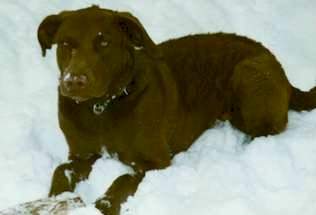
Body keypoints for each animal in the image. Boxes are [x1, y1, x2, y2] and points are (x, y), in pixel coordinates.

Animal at [37, 5, 316, 215]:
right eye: (65, 43)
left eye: (104, 42)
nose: (74, 81)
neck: (102, 107)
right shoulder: (81, 154)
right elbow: (61, 171)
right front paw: (54, 199)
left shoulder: (155, 161)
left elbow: (122, 180)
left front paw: (103, 205)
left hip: (248, 74)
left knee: (269, 130)